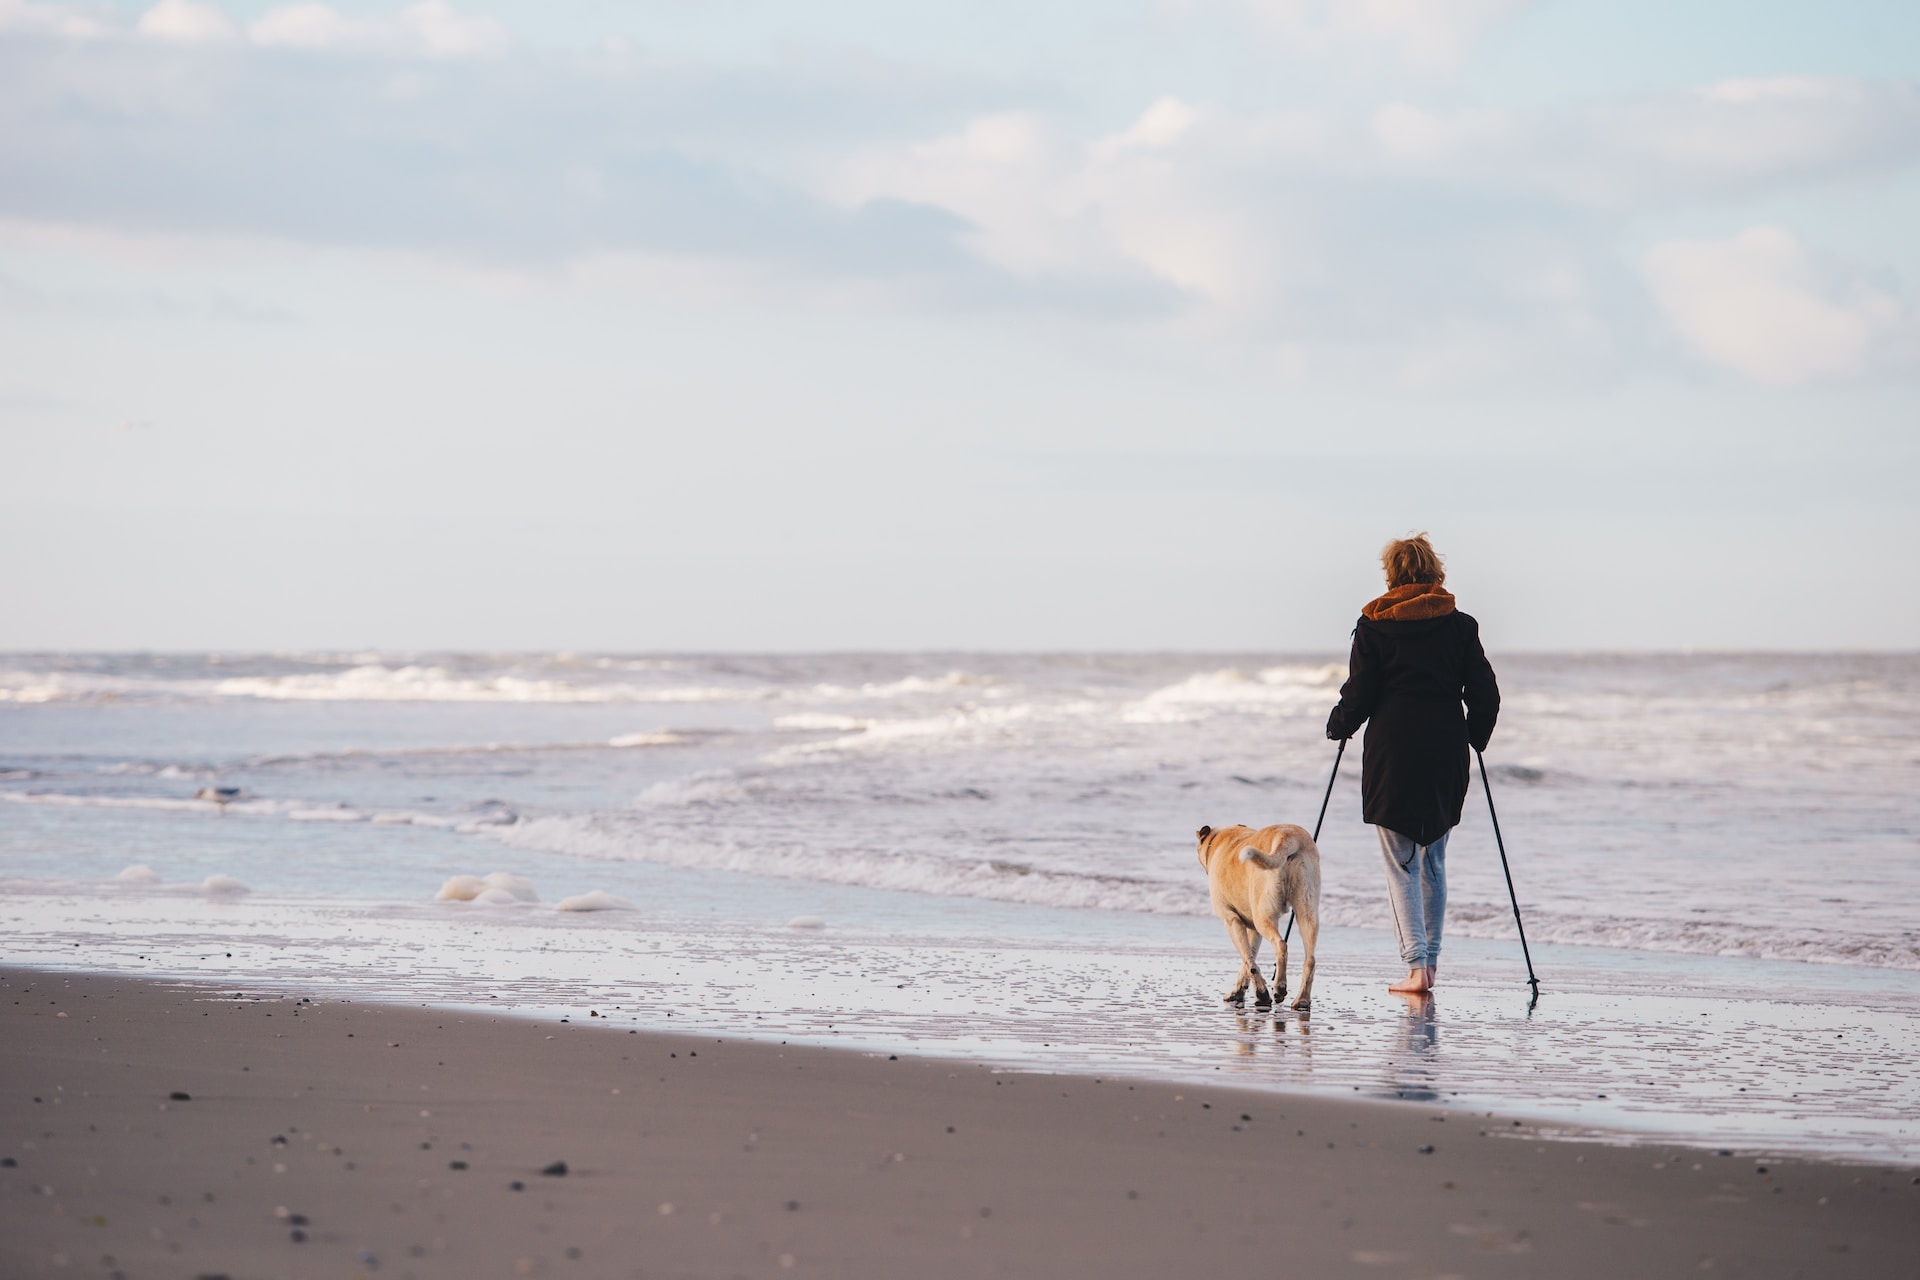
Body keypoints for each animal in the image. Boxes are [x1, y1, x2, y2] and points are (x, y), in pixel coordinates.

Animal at [1198, 821, 1320, 1013]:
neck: (1218, 840)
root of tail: (1288, 838)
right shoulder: (1253, 930)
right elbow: (1249, 960)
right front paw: (1239, 992)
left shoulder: (1231, 920)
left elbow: (1249, 961)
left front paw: (1262, 994)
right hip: (1307, 912)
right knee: (1310, 959)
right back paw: (1302, 1001)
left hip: (1263, 916)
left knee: (1281, 945)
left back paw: (1280, 986)